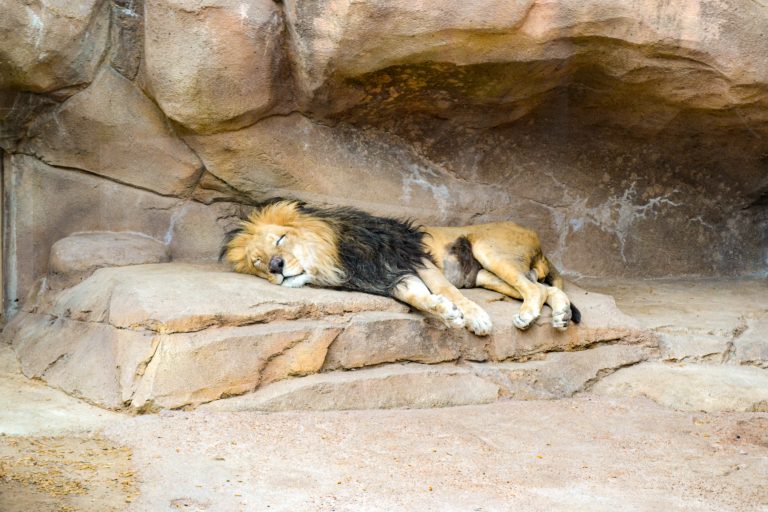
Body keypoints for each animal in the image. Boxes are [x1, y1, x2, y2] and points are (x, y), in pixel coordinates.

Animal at [222, 199, 584, 336]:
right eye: (258, 263)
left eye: (281, 239)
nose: (276, 265)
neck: (336, 258)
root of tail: (536, 237)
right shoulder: (388, 276)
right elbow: (418, 298)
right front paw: (446, 312)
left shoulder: (413, 257)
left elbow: (448, 290)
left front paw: (476, 318)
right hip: (488, 275)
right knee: (546, 289)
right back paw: (560, 316)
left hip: (488, 251)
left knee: (535, 288)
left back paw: (528, 316)